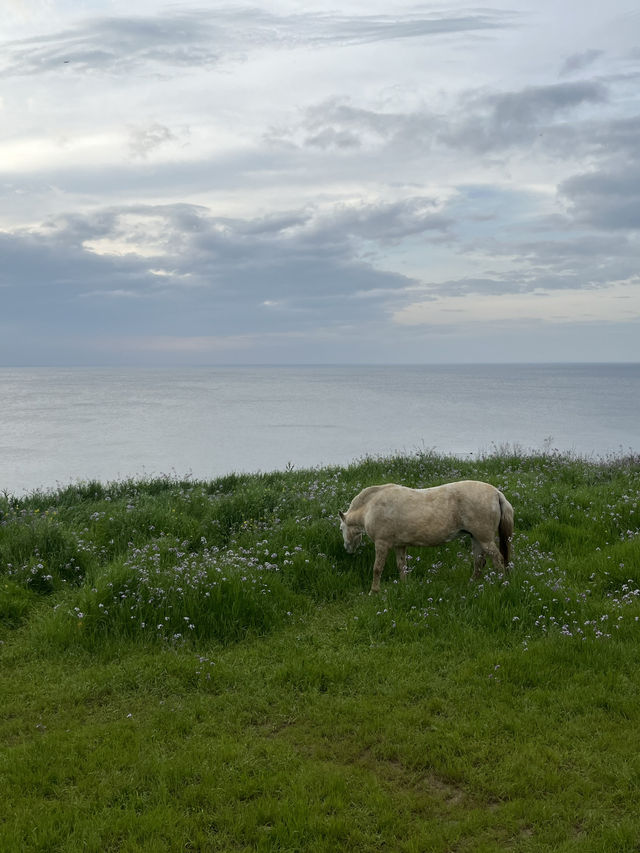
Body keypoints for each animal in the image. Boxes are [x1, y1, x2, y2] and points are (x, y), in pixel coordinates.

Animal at [340, 480, 516, 592]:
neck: (371, 507)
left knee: (498, 560)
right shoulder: (399, 545)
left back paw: (502, 584)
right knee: (479, 562)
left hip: (485, 539)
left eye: (342, 528)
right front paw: (404, 587)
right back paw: (472, 585)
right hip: (476, 538)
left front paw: (374, 592)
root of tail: (496, 493)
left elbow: (377, 569)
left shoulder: (382, 543)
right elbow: (401, 566)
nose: (347, 548)